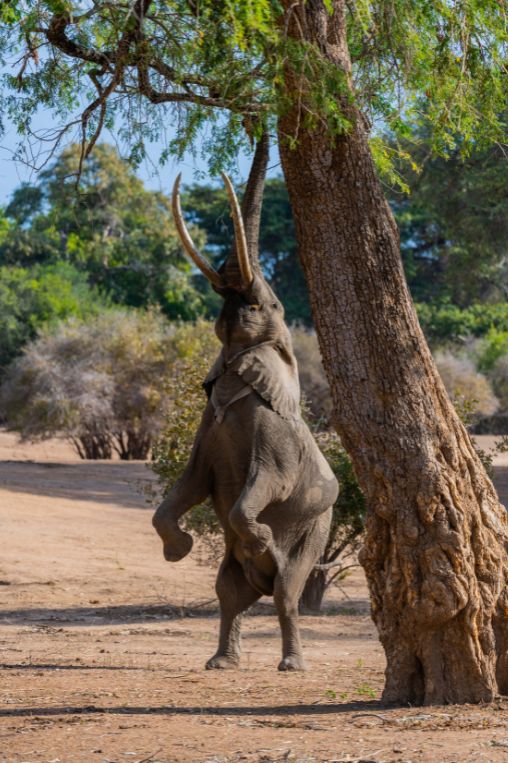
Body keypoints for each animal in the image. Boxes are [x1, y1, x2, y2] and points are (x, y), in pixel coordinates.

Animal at [152, 166, 339, 672]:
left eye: (266, 306)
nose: (237, 297)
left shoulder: (273, 438)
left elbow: (264, 485)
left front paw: (259, 537)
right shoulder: (207, 433)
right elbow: (188, 486)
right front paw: (178, 550)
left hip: (315, 530)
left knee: (286, 593)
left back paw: (291, 664)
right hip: (247, 567)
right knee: (229, 592)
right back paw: (221, 662)